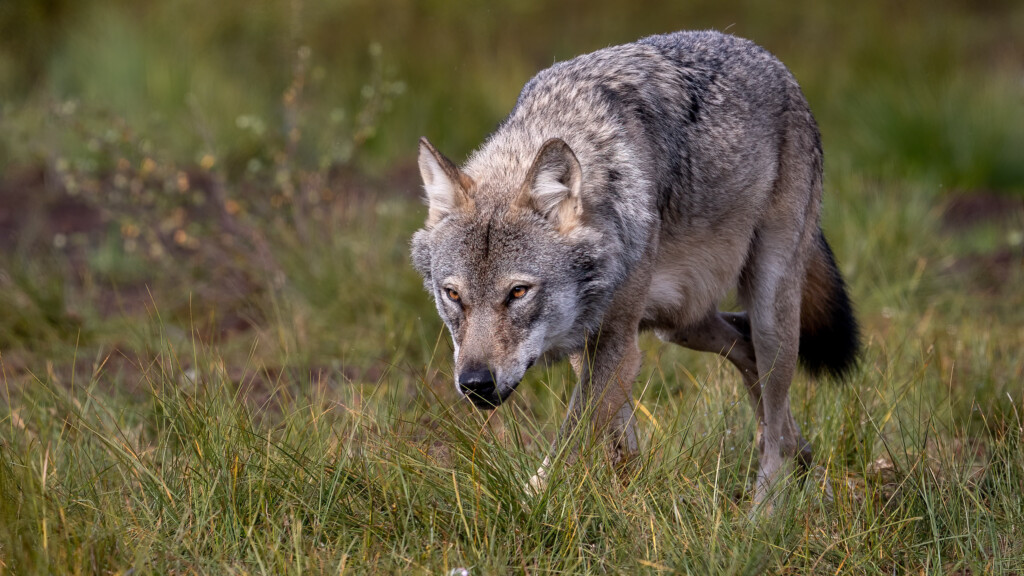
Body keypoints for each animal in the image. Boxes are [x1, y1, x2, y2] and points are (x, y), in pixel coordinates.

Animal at [410, 30, 859, 506]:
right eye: (453, 294)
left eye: (518, 292)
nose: (474, 384)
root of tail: (769, 58)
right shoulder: (589, 341)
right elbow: (619, 441)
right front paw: (622, 496)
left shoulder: (617, 342)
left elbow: (568, 445)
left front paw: (528, 506)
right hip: (680, 324)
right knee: (745, 347)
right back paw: (805, 459)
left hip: (767, 311)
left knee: (771, 418)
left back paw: (764, 510)